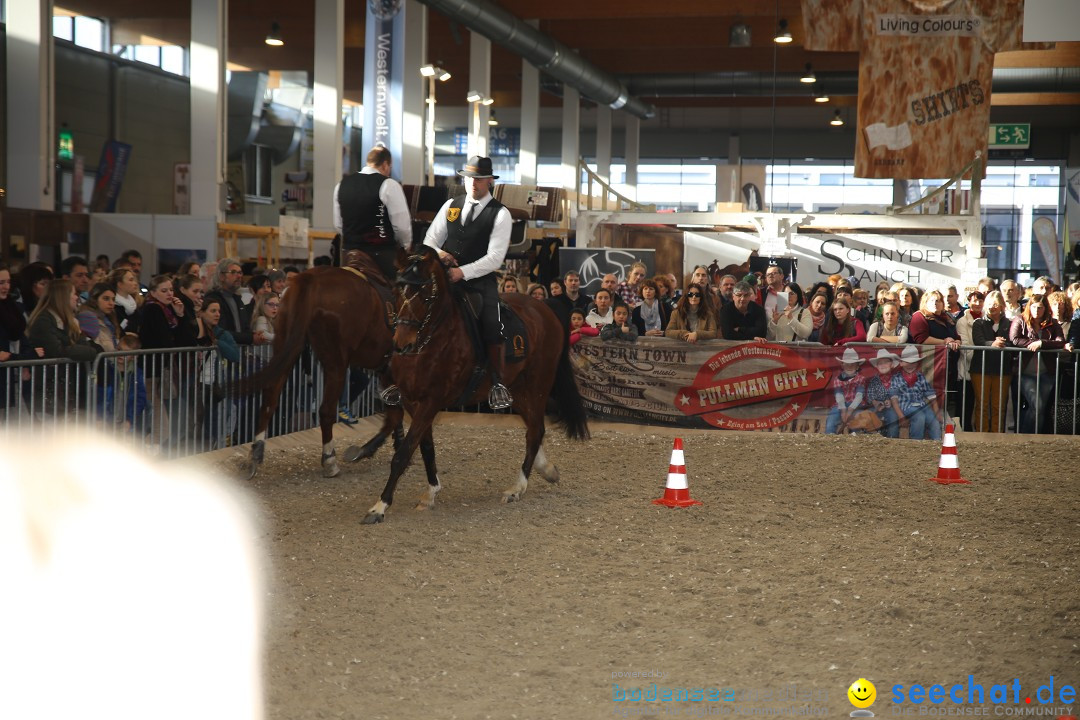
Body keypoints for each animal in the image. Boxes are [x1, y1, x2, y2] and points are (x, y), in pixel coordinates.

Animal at [238, 263, 403, 479]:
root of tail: (311, 279)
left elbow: (396, 409)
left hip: (287, 348)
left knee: (269, 399)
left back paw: (256, 453)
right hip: (335, 362)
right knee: (326, 410)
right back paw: (330, 460)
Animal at [360, 248, 591, 524]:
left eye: (425, 294)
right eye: (396, 290)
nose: (402, 343)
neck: (435, 339)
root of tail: (545, 308)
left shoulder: (431, 402)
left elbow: (403, 454)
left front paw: (379, 507)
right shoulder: (413, 403)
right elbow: (425, 447)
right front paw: (431, 492)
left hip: (538, 384)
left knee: (536, 430)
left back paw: (517, 488)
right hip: (518, 389)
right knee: (534, 428)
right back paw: (546, 469)